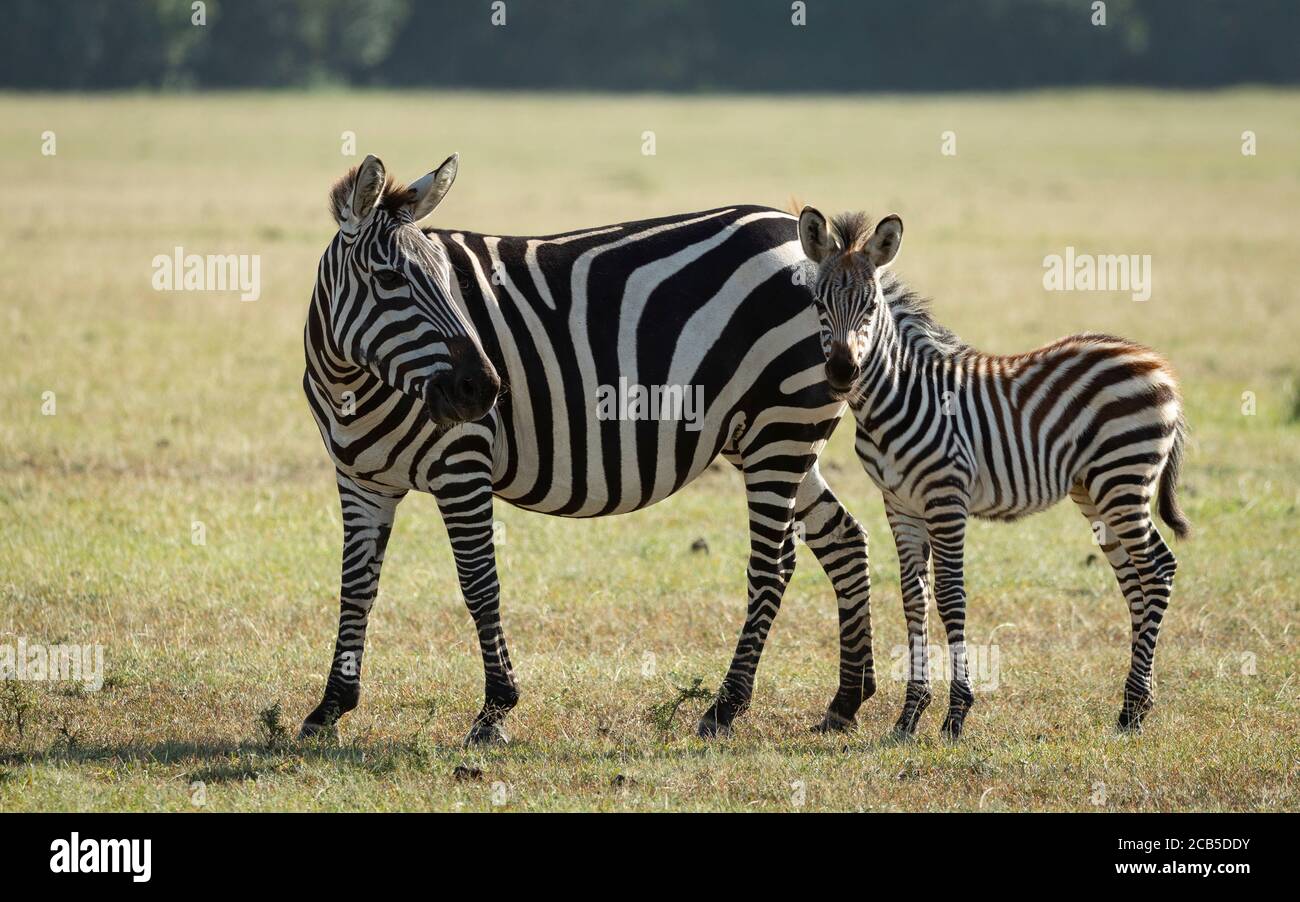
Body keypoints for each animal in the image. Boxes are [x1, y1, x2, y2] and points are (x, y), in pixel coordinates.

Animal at [299, 155, 878, 743]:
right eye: (390, 279)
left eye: (449, 281)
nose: (483, 390)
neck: (353, 383)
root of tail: (812, 243)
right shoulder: (361, 481)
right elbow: (355, 587)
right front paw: (330, 708)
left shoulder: (462, 464)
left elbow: (478, 583)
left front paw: (494, 710)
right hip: (769, 435)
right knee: (843, 538)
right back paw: (846, 701)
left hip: (781, 424)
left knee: (772, 565)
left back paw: (725, 707)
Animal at [790, 206, 1190, 743]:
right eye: (818, 302)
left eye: (871, 305)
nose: (840, 371)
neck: (897, 396)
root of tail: (1157, 364)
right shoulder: (900, 504)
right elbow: (913, 598)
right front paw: (909, 716)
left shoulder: (946, 498)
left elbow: (950, 597)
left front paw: (956, 715)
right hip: (1096, 491)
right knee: (1135, 580)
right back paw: (1135, 705)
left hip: (1123, 479)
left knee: (1158, 570)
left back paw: (1132, 708)